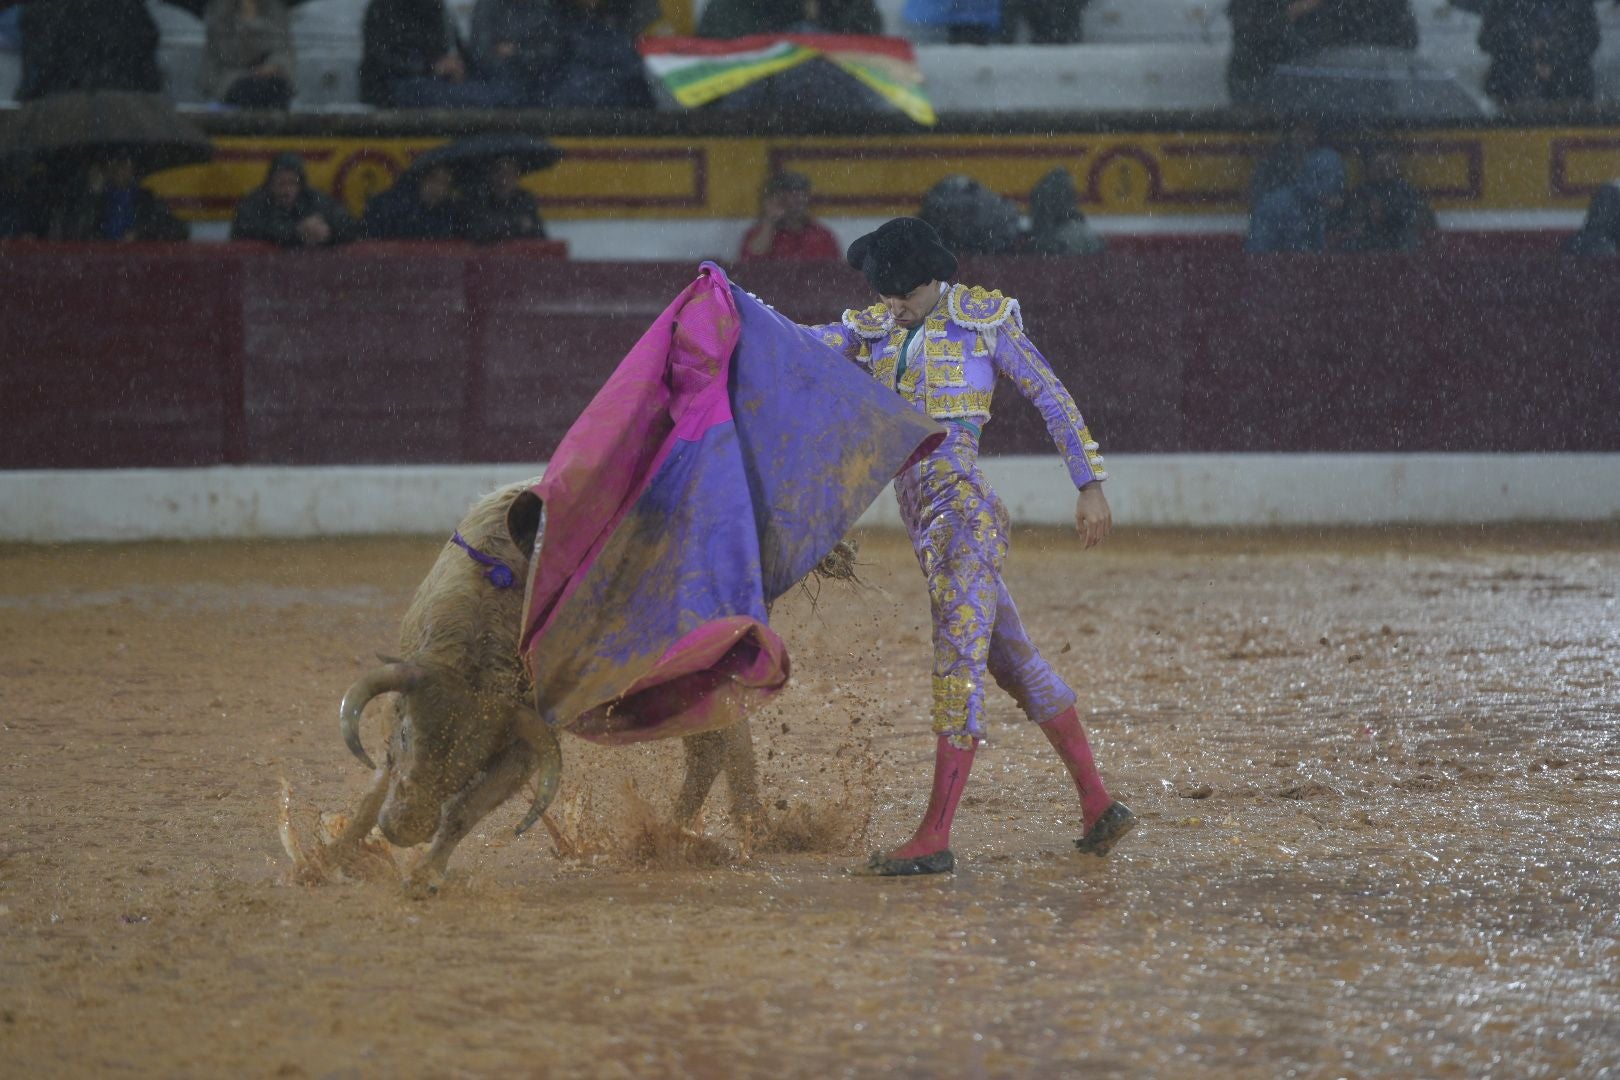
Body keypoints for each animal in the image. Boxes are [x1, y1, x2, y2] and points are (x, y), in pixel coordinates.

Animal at [327, 482, 764, 893]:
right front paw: (333, 859)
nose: (408, 828)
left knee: (712, 747)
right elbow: (379, 782)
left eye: (471, 765)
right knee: (724, 739)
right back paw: (734, 829)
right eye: (406, 735)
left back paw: (686, 836)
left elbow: (466, 809)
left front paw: (425, 876)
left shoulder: (526, 742)